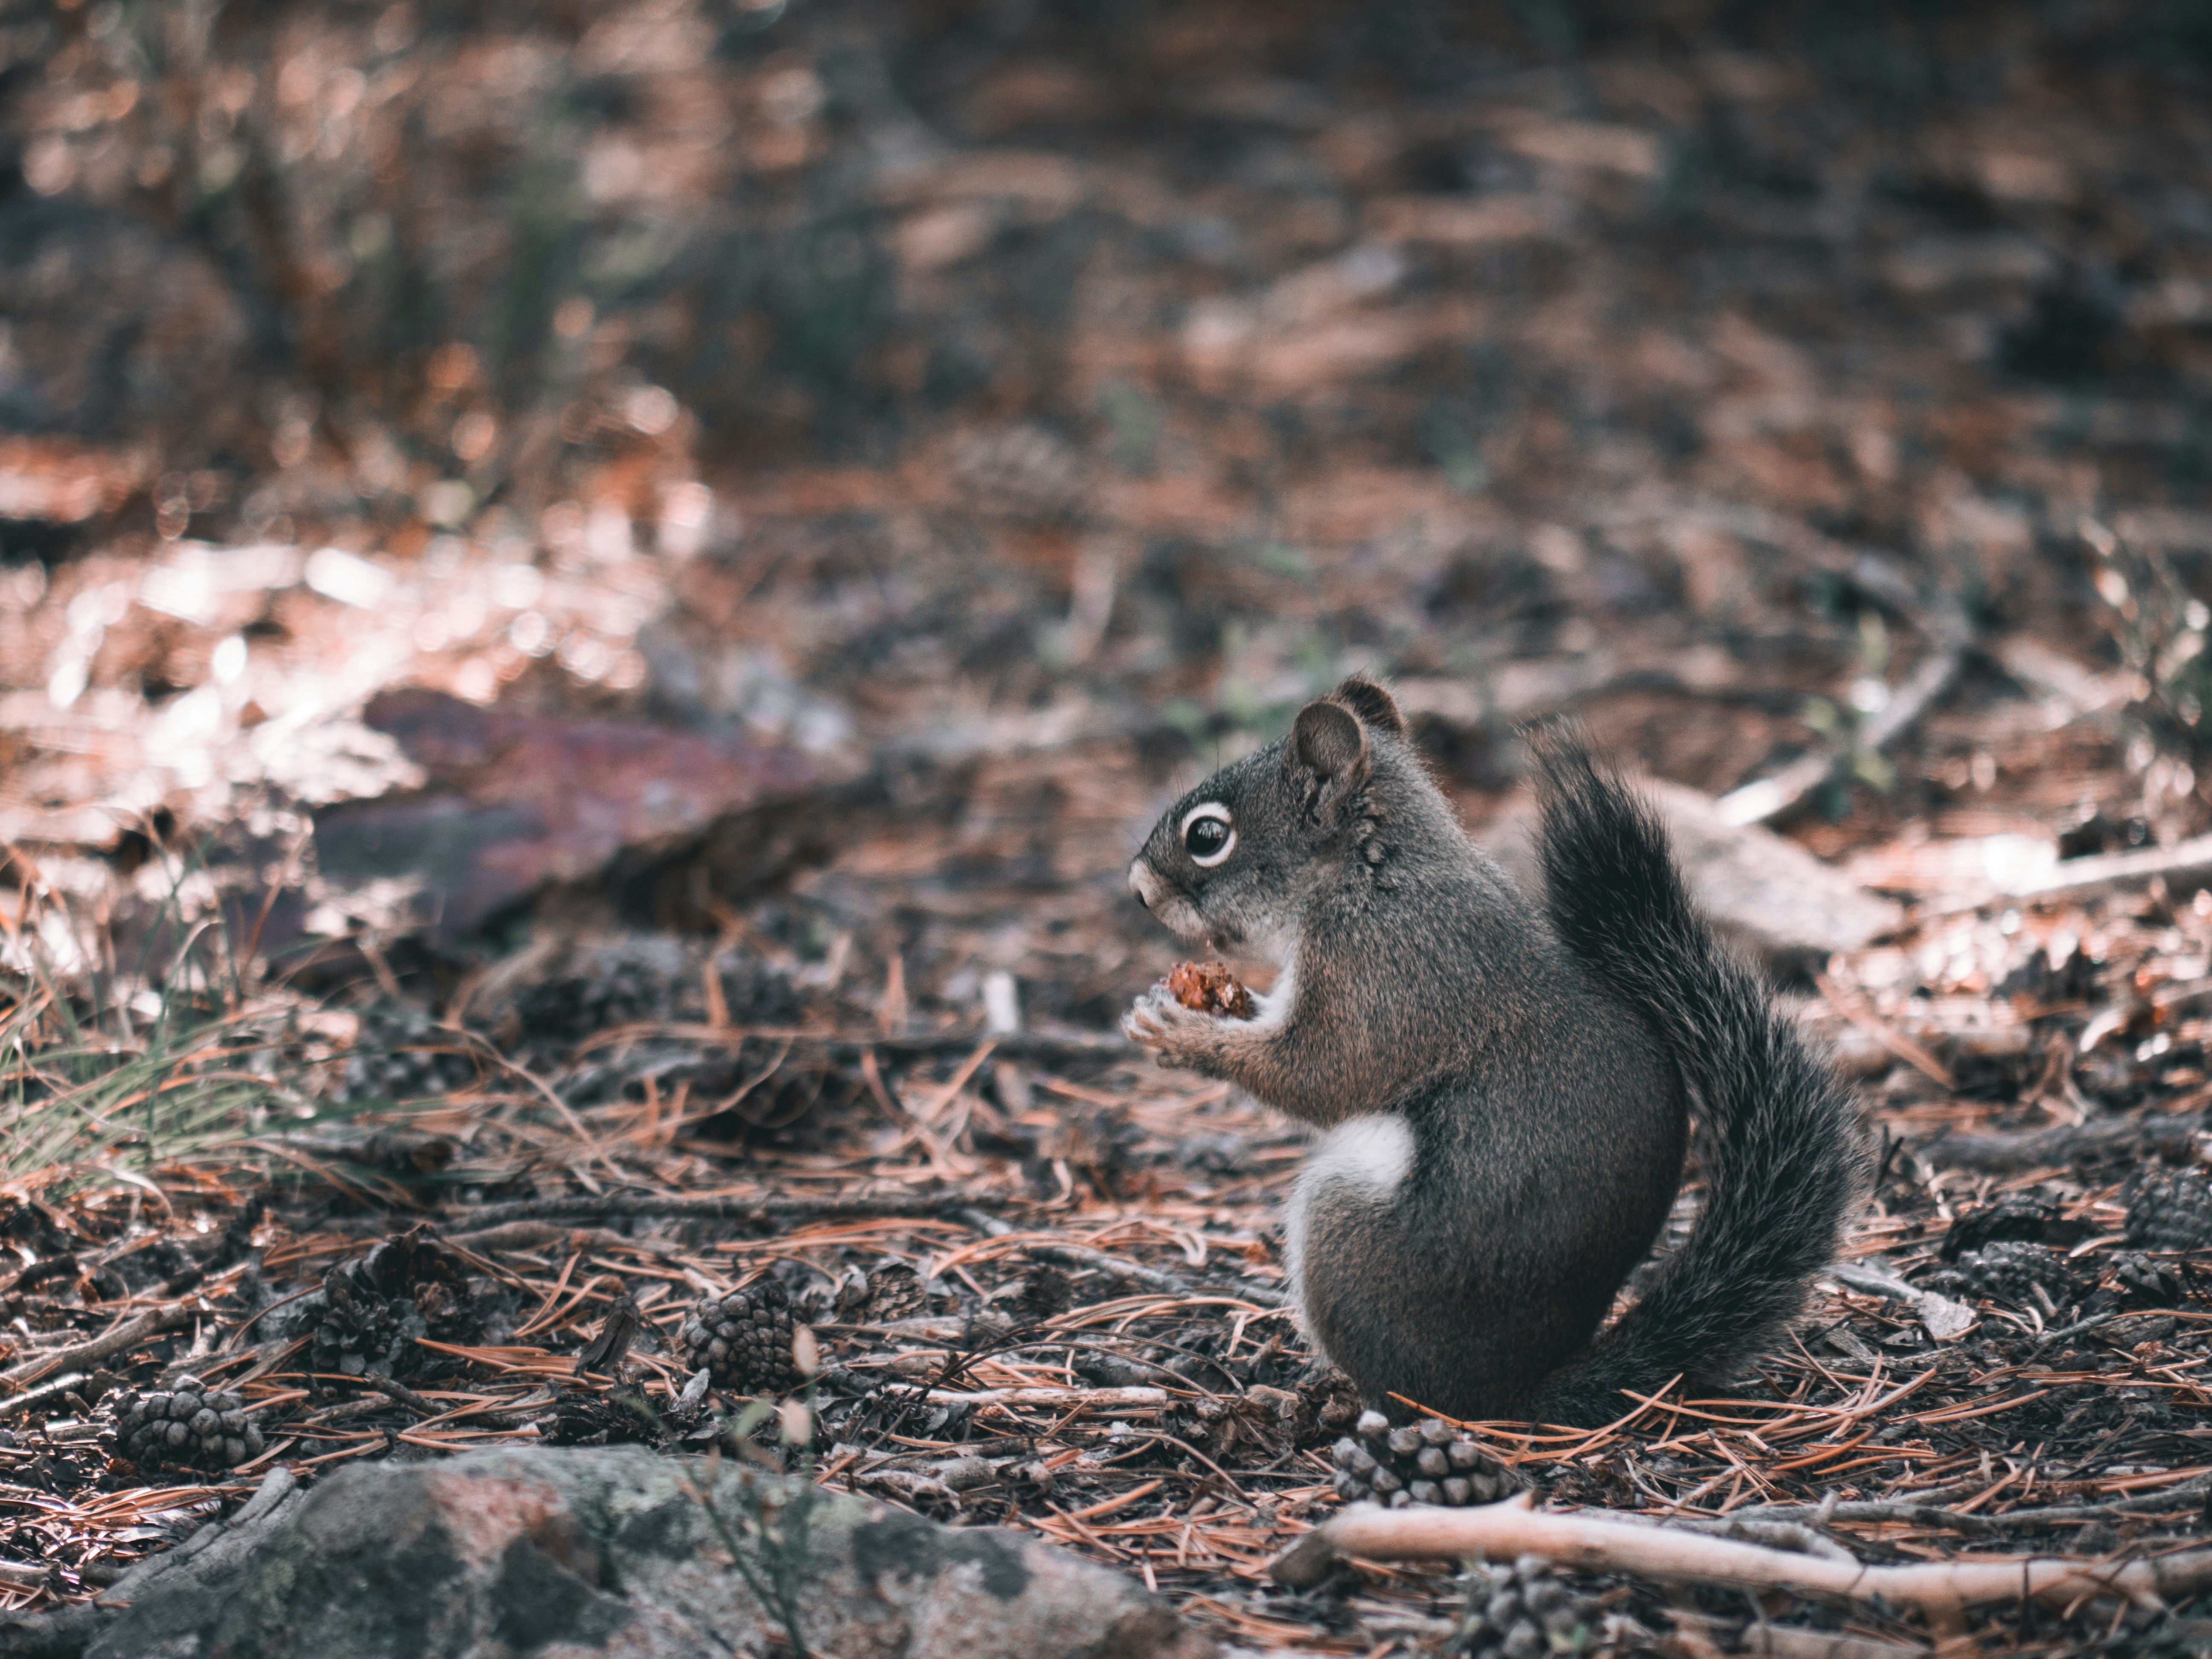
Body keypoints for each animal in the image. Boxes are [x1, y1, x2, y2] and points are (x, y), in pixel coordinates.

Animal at [1121, 674, 1869, 1427]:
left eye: (1208, 836)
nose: (1139, 889)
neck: (1371, 874)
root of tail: (1509, 1397)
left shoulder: (1392, 973)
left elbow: (1322, 1075)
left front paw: (1181, 1035)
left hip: (1348, 1233)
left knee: (1396, 1393)